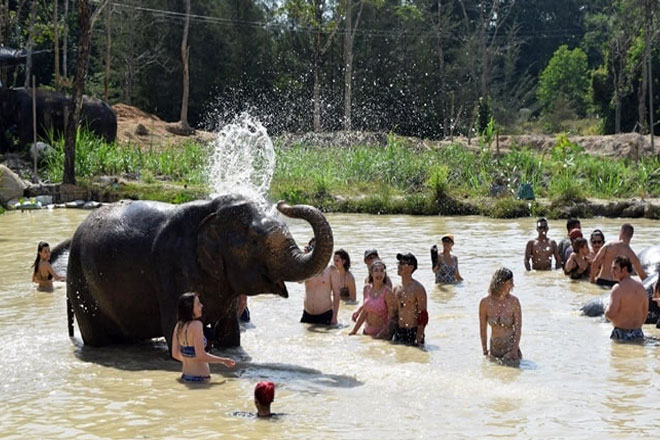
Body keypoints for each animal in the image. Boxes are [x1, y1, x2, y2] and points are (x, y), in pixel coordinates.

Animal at [54, 194, 336, 352]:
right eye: (255, 241)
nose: (282, 203)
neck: (211, 211)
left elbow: (230, 336)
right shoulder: (171, 266)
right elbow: (174, 332)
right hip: (81, 286)